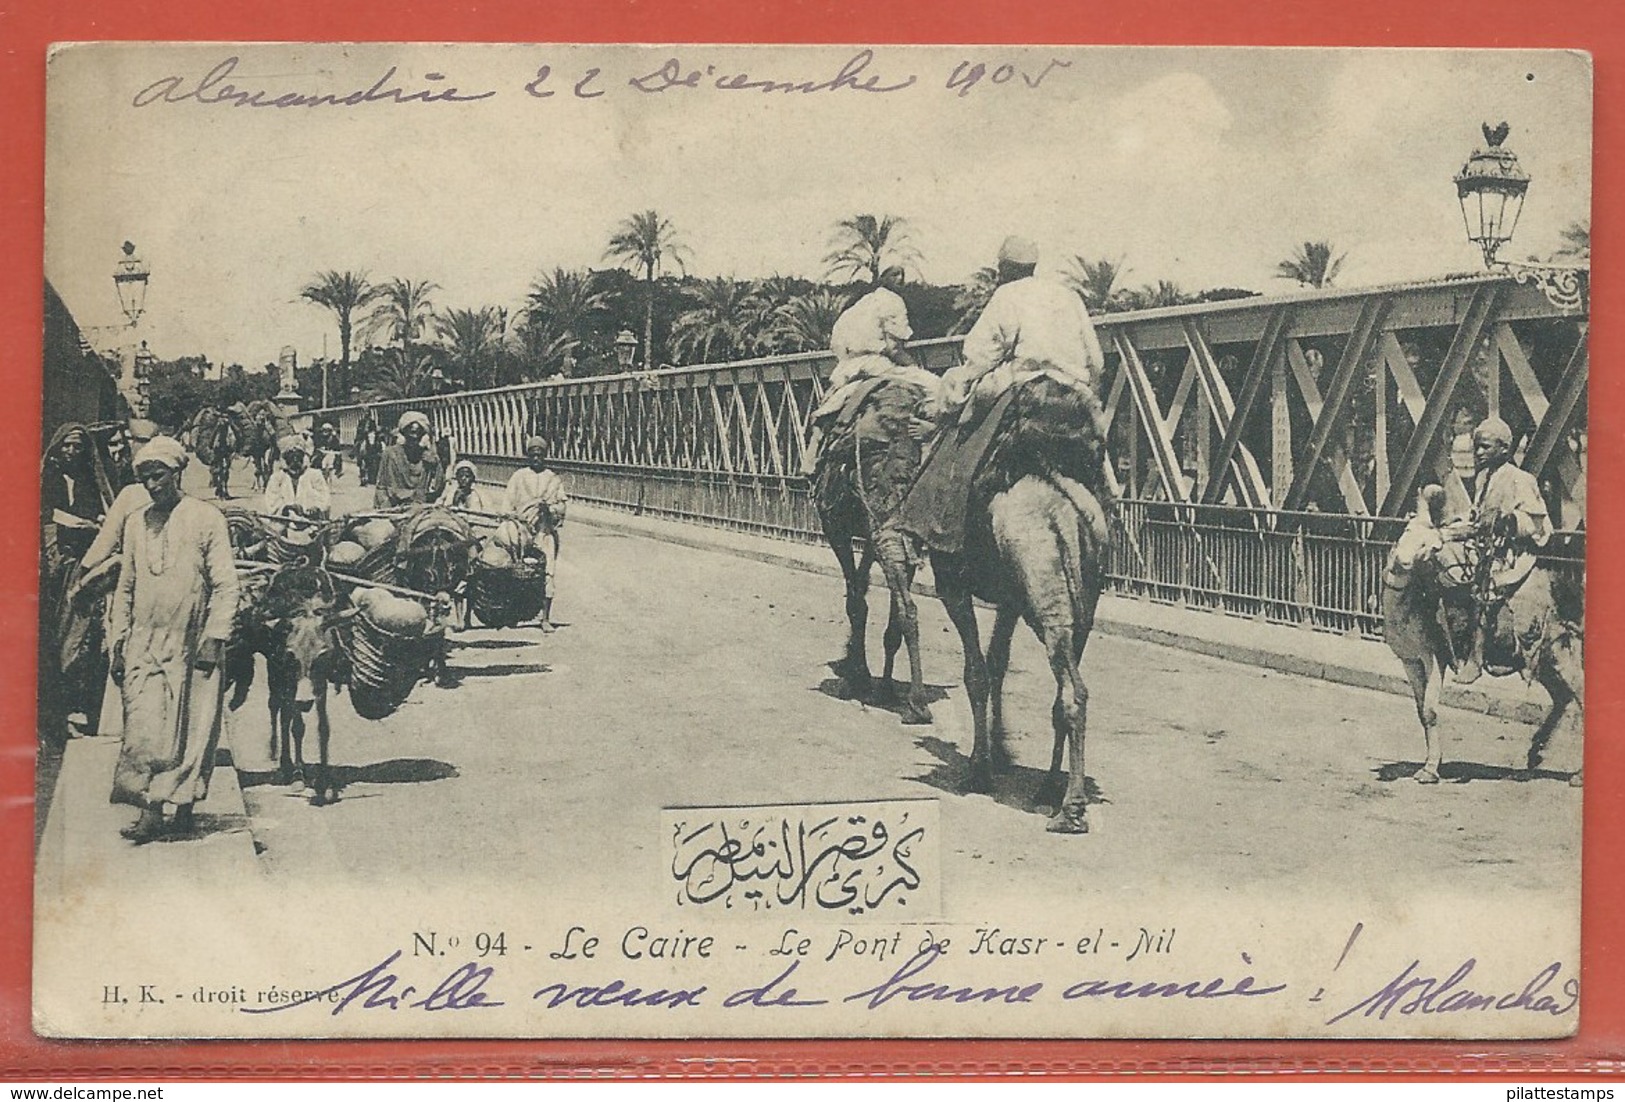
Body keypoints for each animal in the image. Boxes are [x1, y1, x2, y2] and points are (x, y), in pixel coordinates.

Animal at [809, 383, 929, 728]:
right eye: (868, 485)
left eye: (918, 482)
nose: (920, 711)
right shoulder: (833, 522)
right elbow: (856, 603)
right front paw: (858, 680)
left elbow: (897, 611)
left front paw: (896, 695)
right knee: (857, 588)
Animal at [1384, 484, 1586, 786]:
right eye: (1407, 530)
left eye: (1432, 548)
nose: (1403, 563)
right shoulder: (1410, 661)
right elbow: (1421, 712)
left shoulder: (1434, 657)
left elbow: (1430, 711)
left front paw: (1430, 770)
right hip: (1545, 657)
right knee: (1562, 697)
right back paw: (1534, 755)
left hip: (1565, 652)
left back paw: (1578, 774)